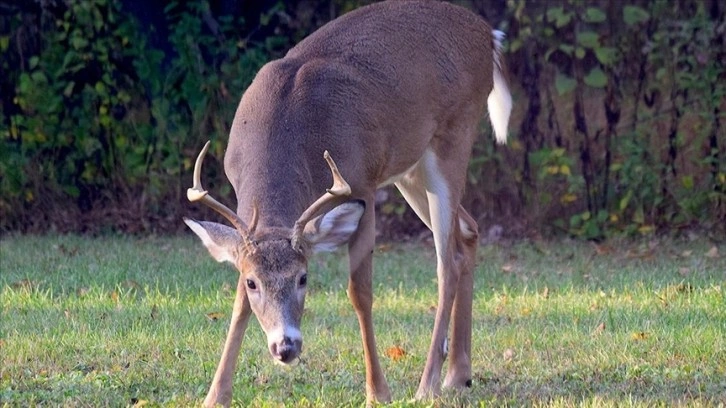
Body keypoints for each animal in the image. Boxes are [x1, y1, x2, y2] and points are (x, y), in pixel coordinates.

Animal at [185, 0, 516, 404]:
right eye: (252, 283)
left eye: (303, 277)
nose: (286, 347)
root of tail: (489, 35)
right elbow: (237, 306)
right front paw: (215, 395)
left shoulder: (363, 184)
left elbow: (360, 292)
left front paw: (378, 392)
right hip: (409, 168)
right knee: (468, 231)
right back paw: (458, 375)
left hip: (454, 136)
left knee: (447, 261)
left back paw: (427, 385)